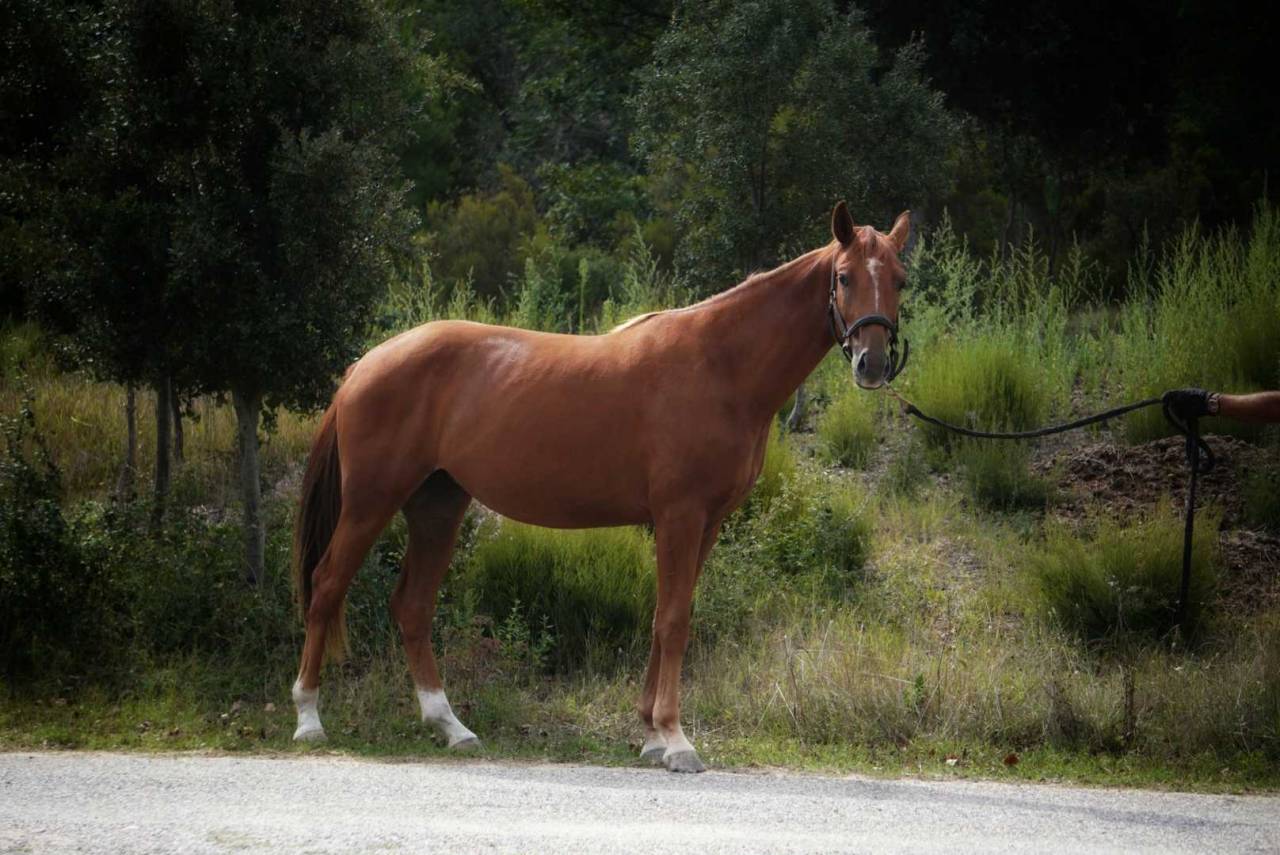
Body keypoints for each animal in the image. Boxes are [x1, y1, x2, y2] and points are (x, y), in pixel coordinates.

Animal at [291, 202, 911, 773]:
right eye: (843, 276)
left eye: (900, 279)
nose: (872, 362)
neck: (720, 365)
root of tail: (366, 364)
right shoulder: (680, 516)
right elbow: (674, 621)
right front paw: (676, 740)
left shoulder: (705, 522)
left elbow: (665, 616)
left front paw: (652, 734)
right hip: (371, 502)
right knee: (326, 585)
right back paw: (309, 719)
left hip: (437, 505)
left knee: (412, 607)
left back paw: (451, 727)